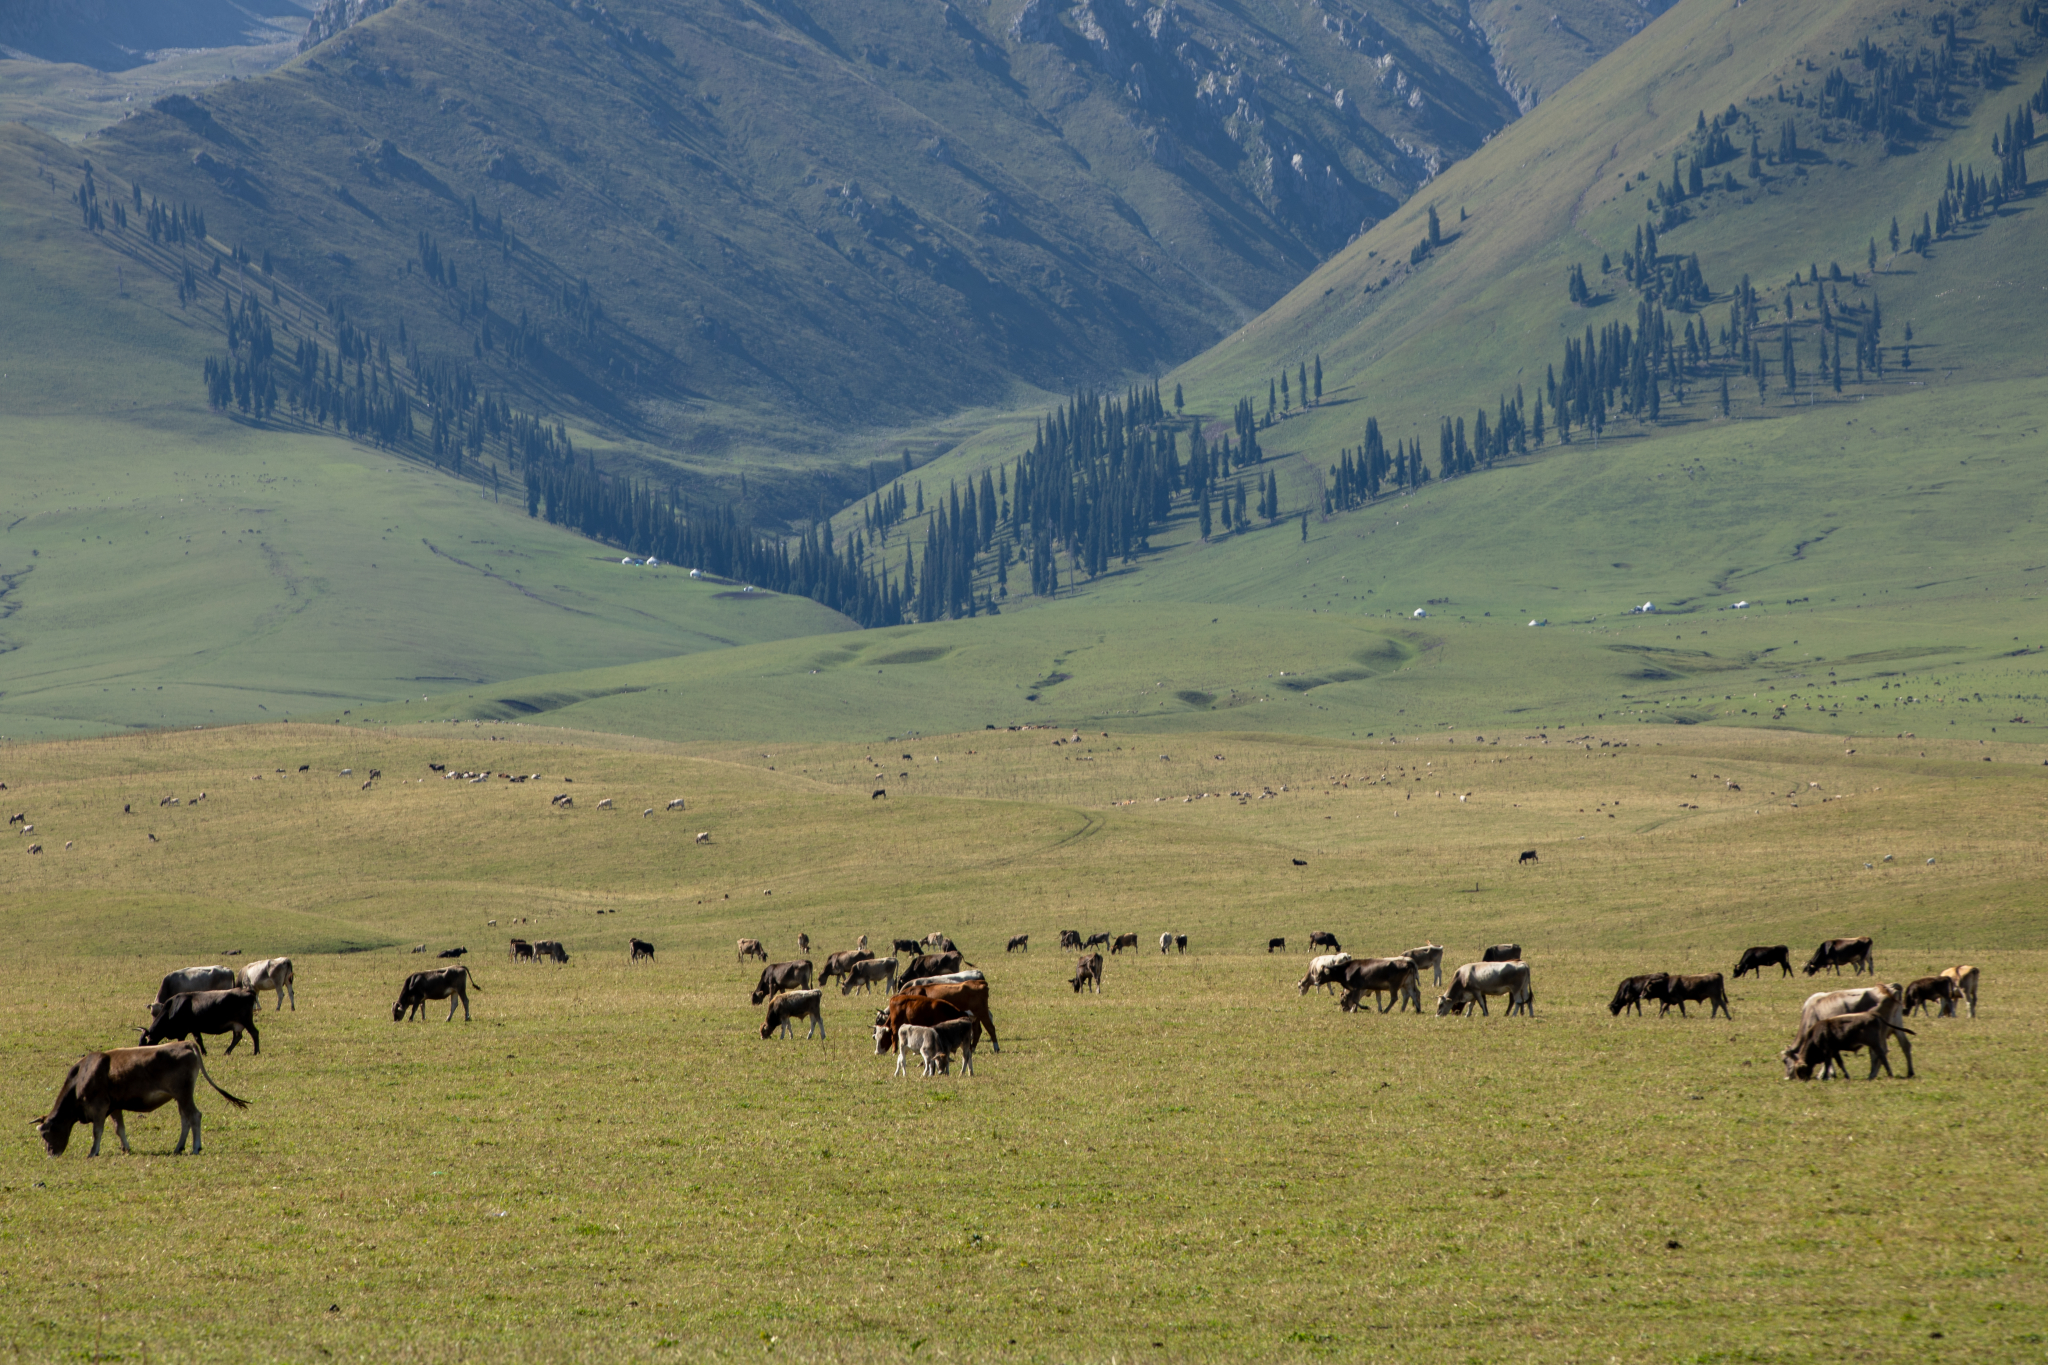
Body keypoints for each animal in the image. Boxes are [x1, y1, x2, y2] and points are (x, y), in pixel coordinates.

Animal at [34, 1039, 249, 1162]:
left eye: (46, 1134)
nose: (50, 1155)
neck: (83, 1075)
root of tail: (185, 1043)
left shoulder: (99, 1106)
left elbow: (97, 1131)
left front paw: (93, 1152)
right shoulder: (114, 1107)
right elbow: (119, 1129)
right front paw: (125, 1148)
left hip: (184, 1094)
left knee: (194, 1116)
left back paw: (195, 1147)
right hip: (179, 1097)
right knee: (185, 1119)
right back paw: (178, 1147)